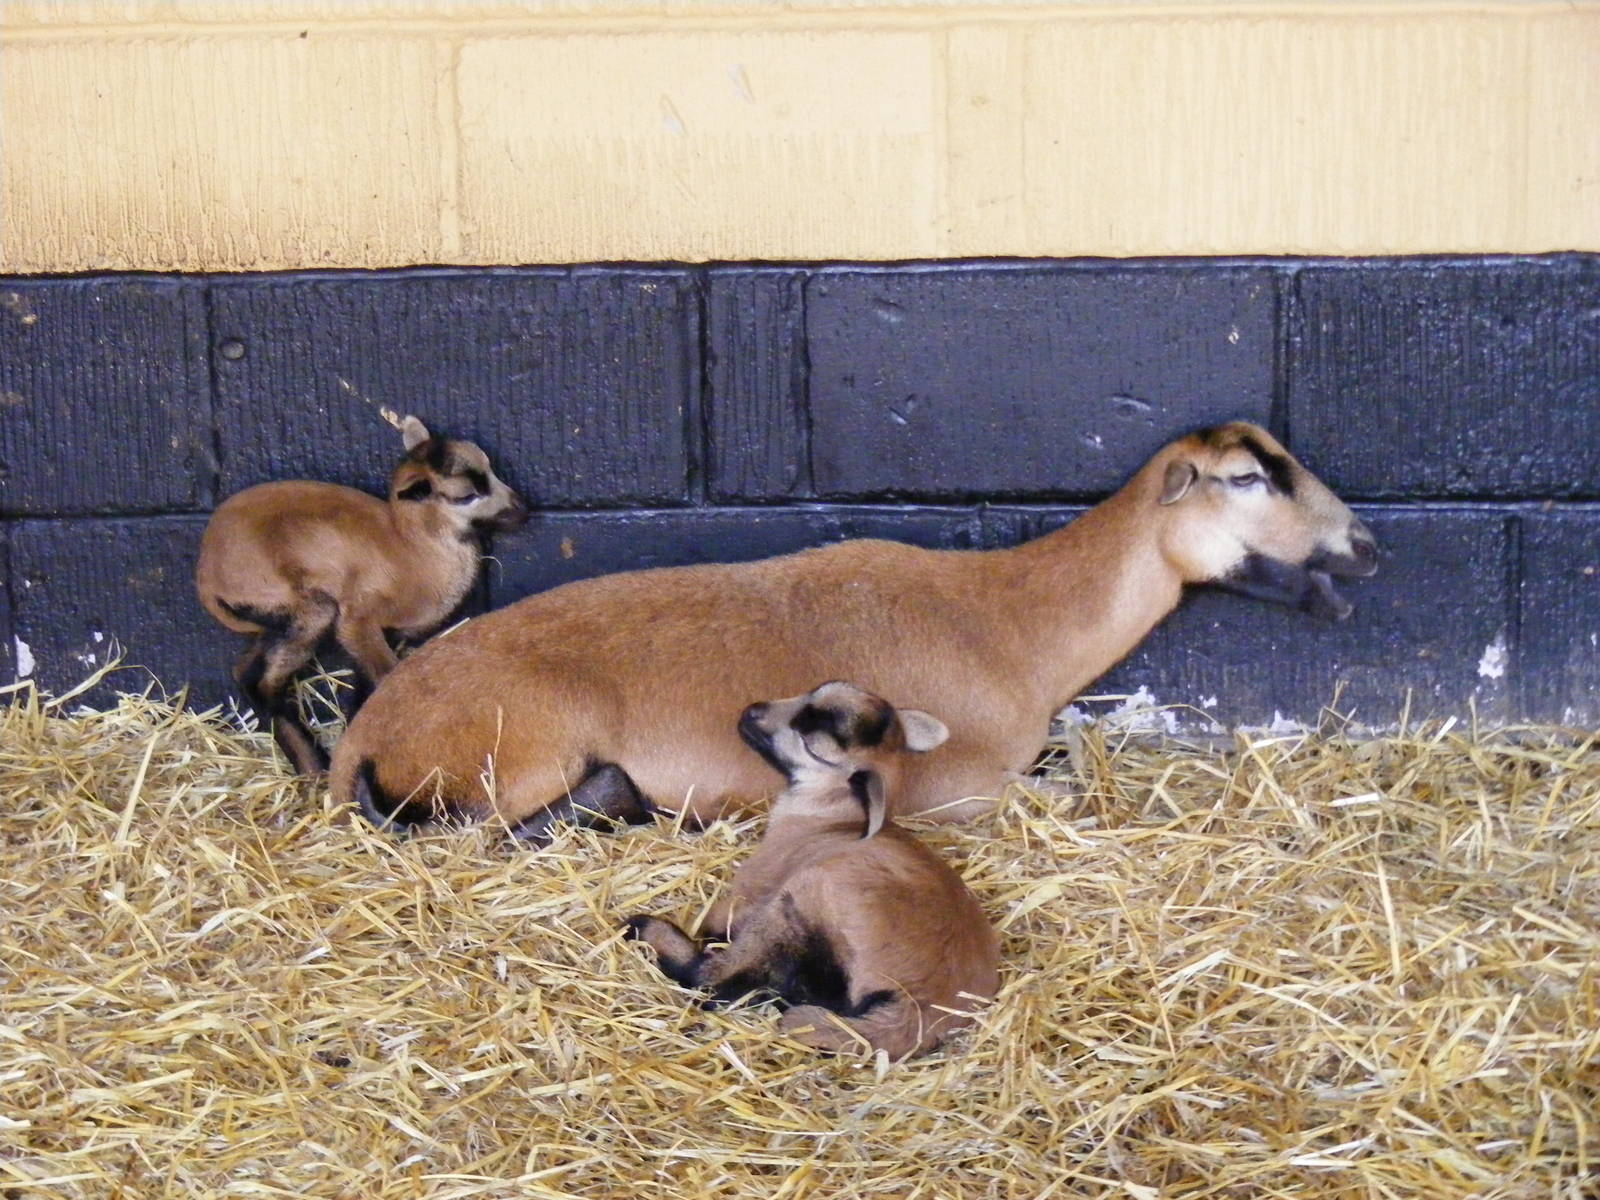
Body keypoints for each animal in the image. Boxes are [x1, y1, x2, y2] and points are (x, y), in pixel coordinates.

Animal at [196, 416, 528, 777]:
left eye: (490, 468)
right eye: (467, 495)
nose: (523, 510)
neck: (415, 552)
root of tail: (206, 577)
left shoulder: (387, 633)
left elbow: (366, 689)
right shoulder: (357, 618)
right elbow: (385, 675)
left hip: (271, 618)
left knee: (245, 672)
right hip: (303, 607)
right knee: (265, 683)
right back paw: (312, 764)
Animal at [335, 421, 1378, 834]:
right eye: (1247, 478)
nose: (1366, 546)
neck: (1016, 620)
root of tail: (365, 732)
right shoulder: (959, 789)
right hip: (516, 758)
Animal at [625, 681, 999, 1059]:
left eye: (809, 744)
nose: (751, 711)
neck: (828, 819)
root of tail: (918, 1011)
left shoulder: (756, 887)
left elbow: (719, 922)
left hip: (803, 902)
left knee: (719, 977)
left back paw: (647, 930)